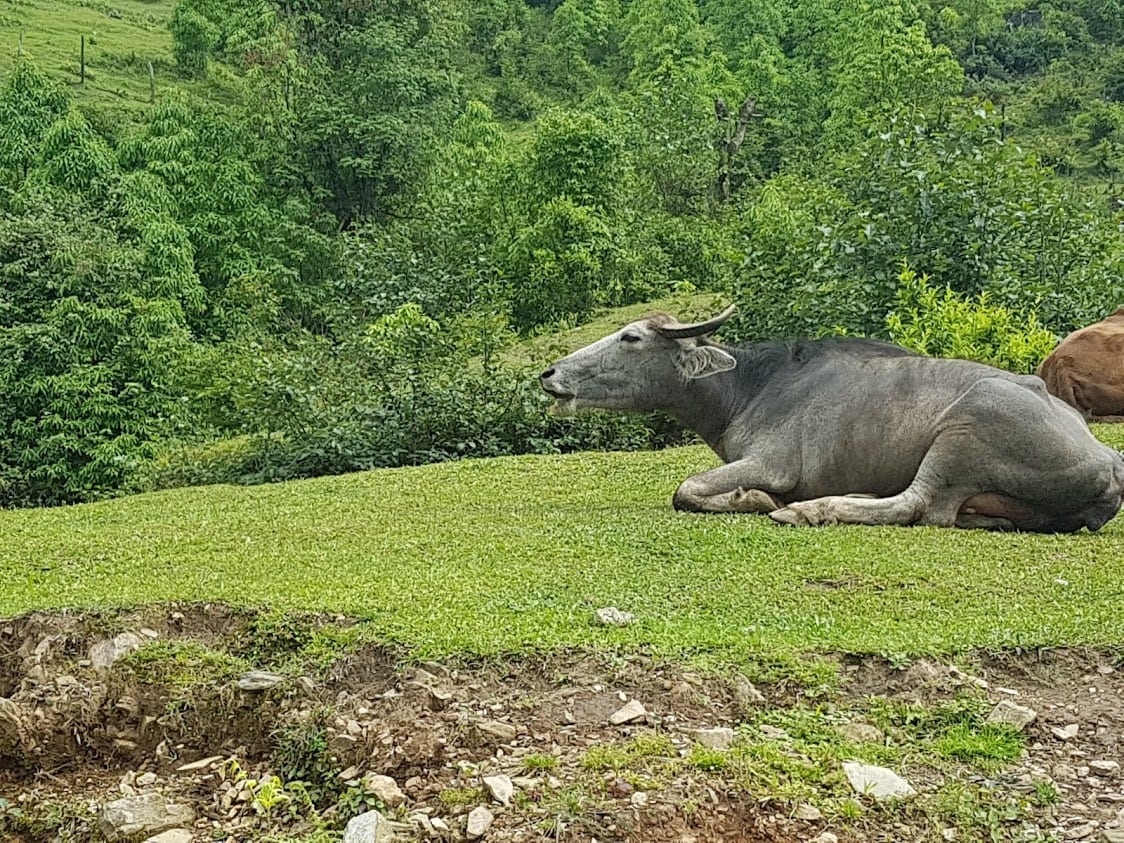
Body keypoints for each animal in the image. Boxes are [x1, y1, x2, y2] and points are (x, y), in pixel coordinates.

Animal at [537, 307, 1124, 535]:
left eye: (631, 337)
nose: (550, 372)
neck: (749, 387)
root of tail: (1109, 462)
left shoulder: (771, 463)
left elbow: (687, 489)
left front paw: (755, 500)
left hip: (964, 430)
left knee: (918, 505)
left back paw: (809, 510)